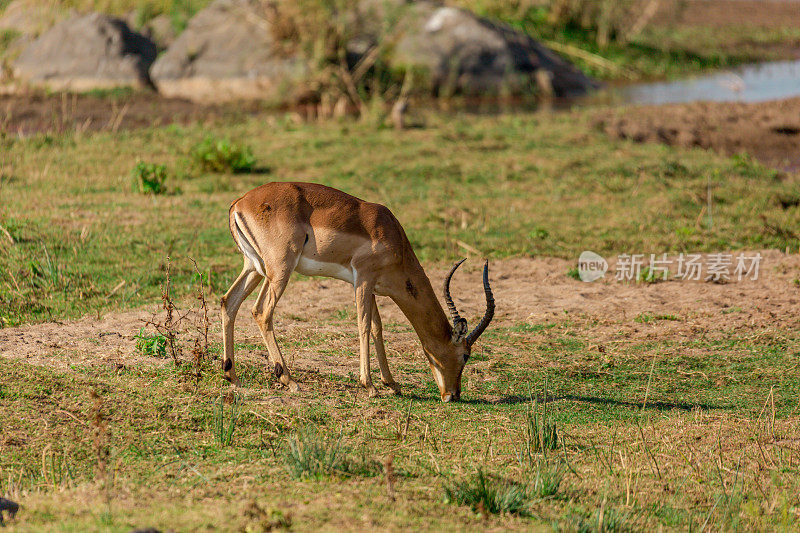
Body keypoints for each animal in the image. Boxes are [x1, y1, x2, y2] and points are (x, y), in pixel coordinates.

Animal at [220, 182, 494, 400]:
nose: (454, 395)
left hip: (254, 268)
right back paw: (290, 380)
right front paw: (370, 386)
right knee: (261, 311)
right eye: (465, 355)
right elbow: (363, 326)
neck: (393, 238)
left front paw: (392, 384)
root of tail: (239, 203)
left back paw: (232, 375)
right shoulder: (362, 279)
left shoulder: (370, 286)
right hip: (280, 269)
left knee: (228, 302)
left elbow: (377, 327)